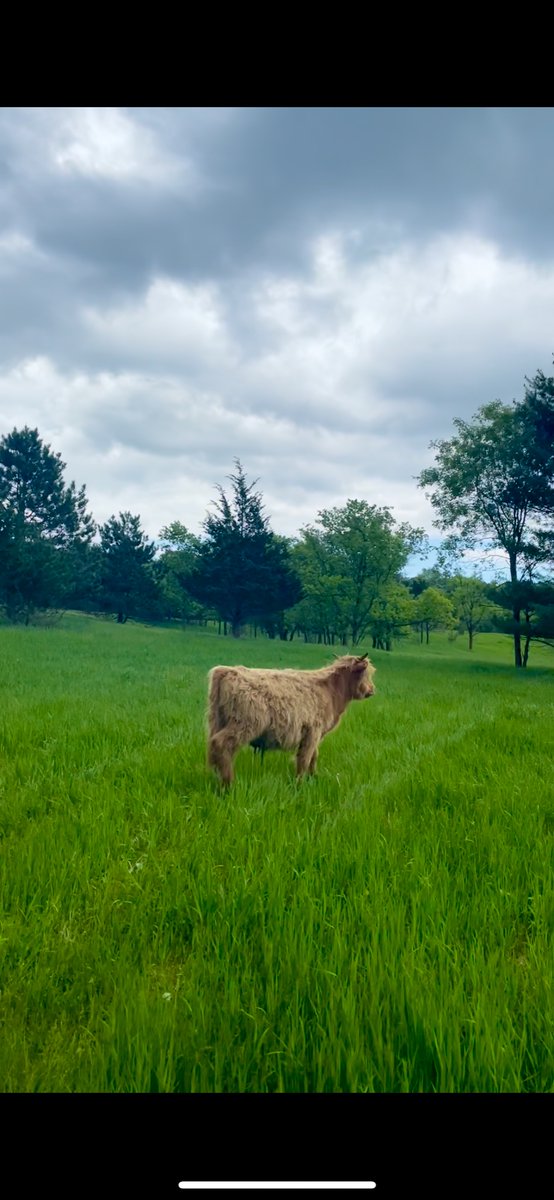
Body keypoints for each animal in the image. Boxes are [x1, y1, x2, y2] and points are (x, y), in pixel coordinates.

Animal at [207, 653, 376, 785]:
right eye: (366, 674)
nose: (372, 690)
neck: (332, 690)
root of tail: (227, 670)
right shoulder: (313, 732)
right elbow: (305, 759)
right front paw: (299, 784)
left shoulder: (314, 735)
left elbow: (313, 757)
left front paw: (314, 778)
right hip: (244, 724)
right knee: (220, 744)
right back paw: (228, 783)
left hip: (217, 721)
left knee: (213, 749)